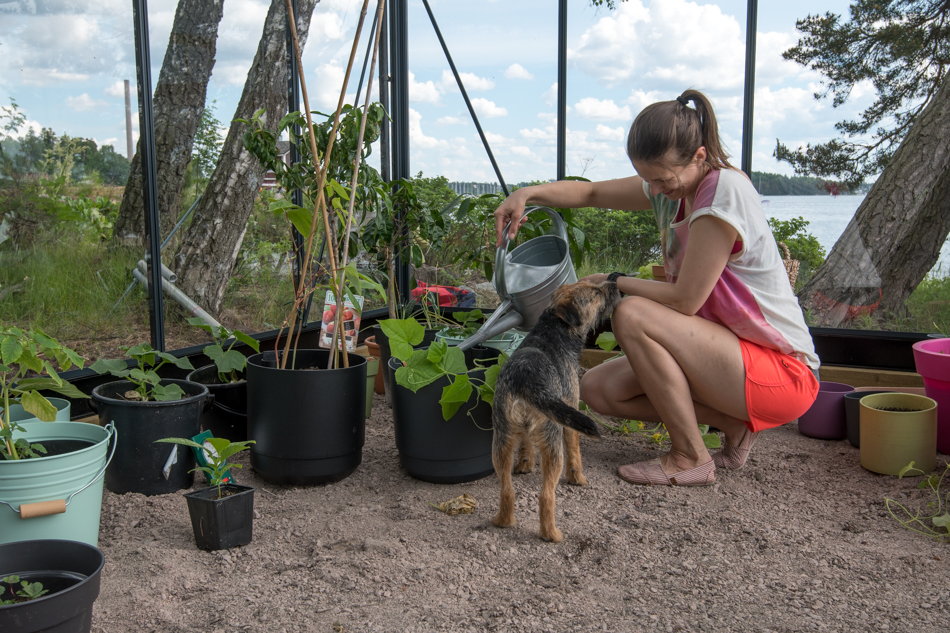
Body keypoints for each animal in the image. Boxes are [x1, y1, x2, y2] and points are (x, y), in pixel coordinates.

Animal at [490, 278, 624, 540]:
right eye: (595, 293)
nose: (615, 281)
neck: (552, 330)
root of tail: (525, 380)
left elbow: (527, 444)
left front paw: (525, 464)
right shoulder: (569, 409)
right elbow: (575, 451)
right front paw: (577, 478)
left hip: (501, 442)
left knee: (506, 489)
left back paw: (504, 521)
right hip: (552, 445)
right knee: (546, 495)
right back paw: (551, 533)